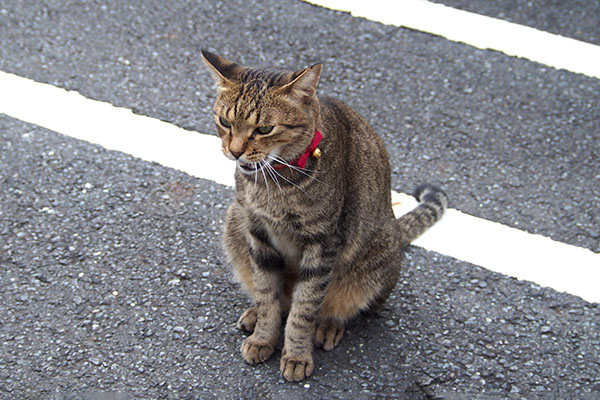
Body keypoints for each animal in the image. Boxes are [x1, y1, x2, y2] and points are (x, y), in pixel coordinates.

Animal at [200, 50, 446, 382]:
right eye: (225, 122)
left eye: (264, 129)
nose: (234, 151)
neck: (274, 181)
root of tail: (395, 228)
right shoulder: (257, 233)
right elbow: (267, 293)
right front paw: (264, 336)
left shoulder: (322, 244)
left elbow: (304, 308)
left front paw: (296, 355)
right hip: (234, 223)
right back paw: (255, 314)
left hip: (375, 256)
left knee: (337, 305)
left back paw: (329, 325)